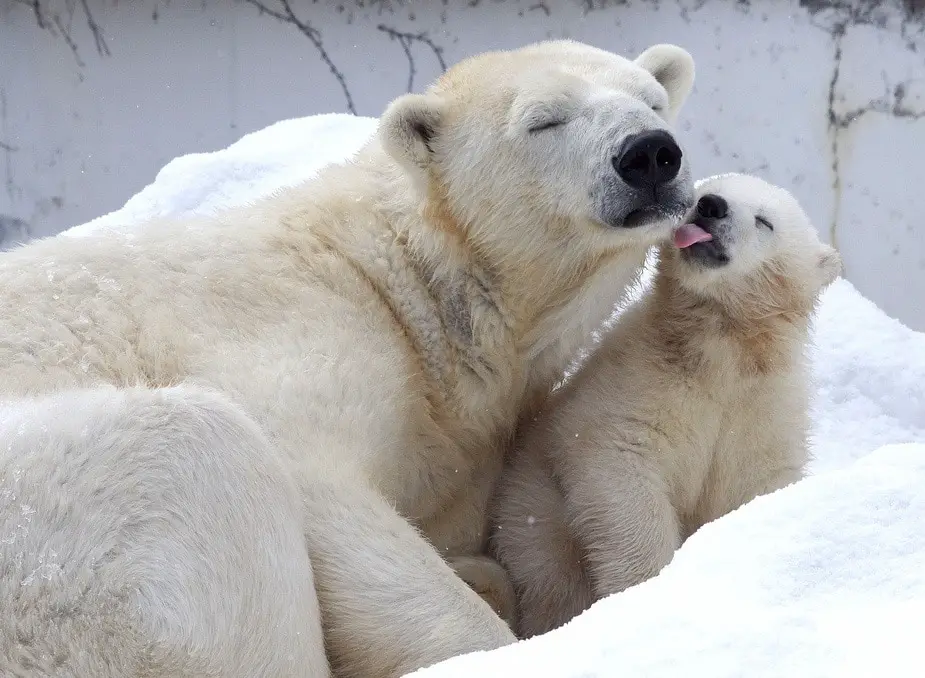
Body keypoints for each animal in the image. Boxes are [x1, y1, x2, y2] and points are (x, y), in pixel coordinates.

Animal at [0, 39, 692, 676]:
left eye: (653, 99)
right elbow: (321, 485)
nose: (649, 154)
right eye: (544, 120)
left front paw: (483, 571)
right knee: (195, 447)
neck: (403, 279)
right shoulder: (291, 331)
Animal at [494, 173, 840, 640]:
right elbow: (619, 461)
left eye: (765, 221)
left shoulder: (762, 415)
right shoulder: (640, 381)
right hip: (534, 507)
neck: (724, 349)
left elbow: (753, 488)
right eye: (704, 191)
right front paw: (646, 588)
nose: (711, 206)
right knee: (552, 575)